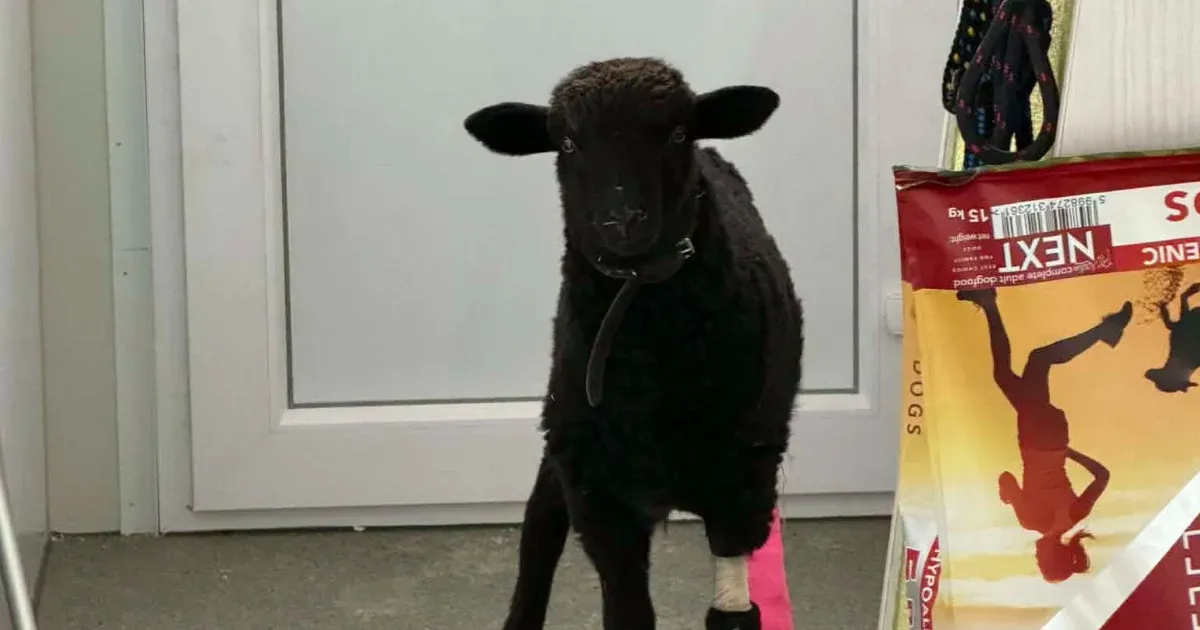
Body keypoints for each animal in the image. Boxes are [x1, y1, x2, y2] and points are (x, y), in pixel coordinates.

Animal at [463, 57, 804, 630]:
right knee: (538, 531)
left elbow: (734, 612)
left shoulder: (742, 482)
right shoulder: (600, 496)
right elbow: (627, 611)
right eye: (568, 144)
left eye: (677, 133)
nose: (622, 220)